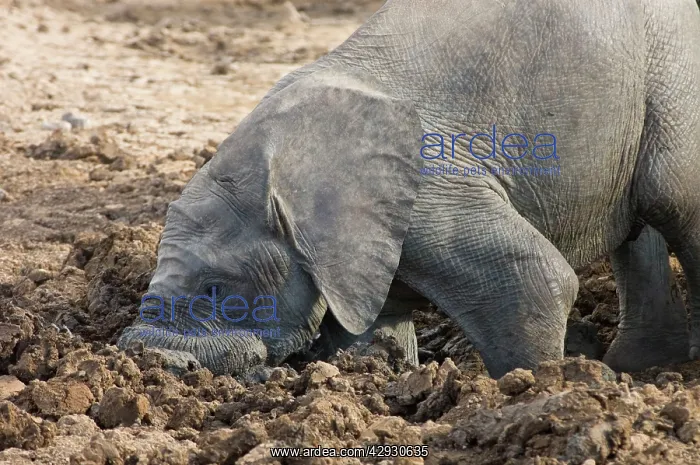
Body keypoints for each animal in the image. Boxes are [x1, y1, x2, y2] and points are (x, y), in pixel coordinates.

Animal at [117, 0, 700, 379]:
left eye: (216, 290)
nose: (148, 358)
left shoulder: (431, 190)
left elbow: (539, 280)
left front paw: (531, 392)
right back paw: (642, 368)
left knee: (673, 202)